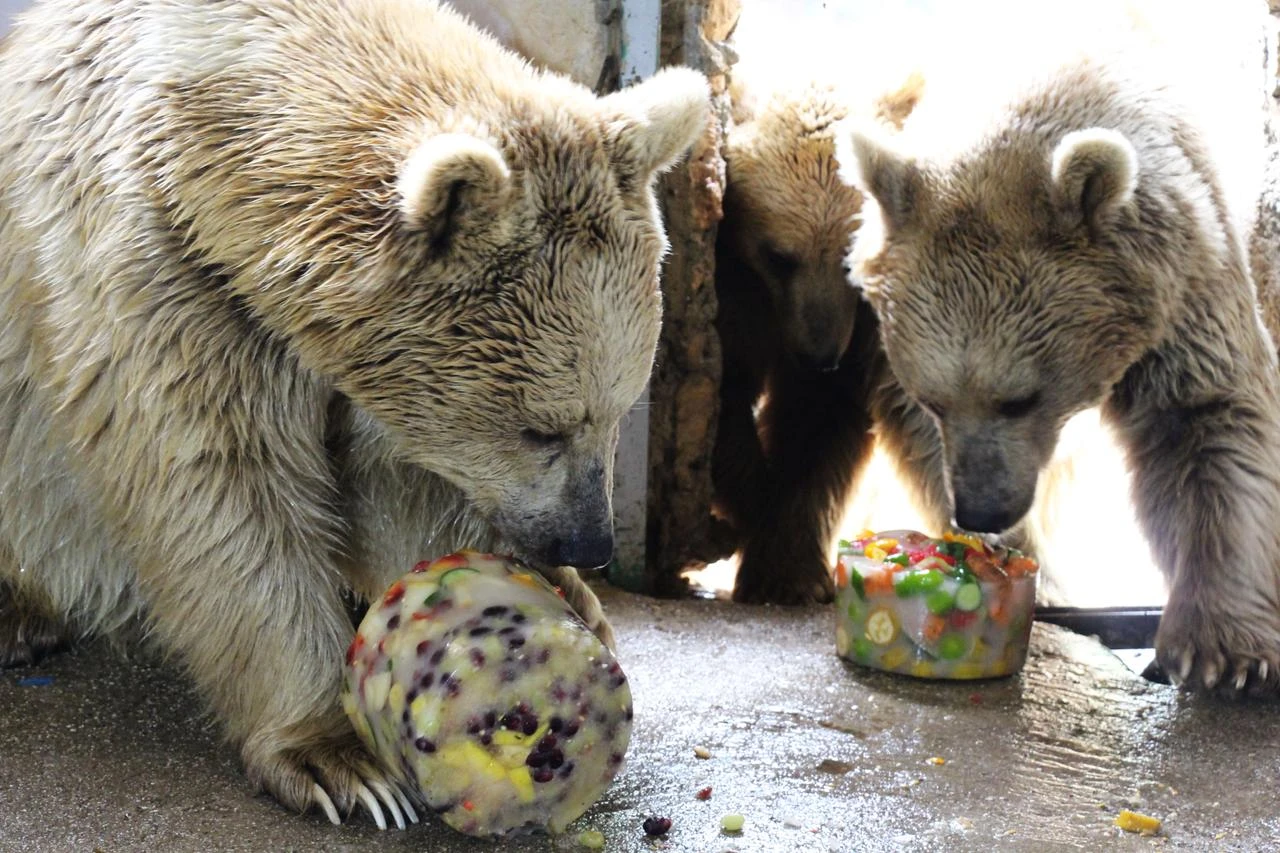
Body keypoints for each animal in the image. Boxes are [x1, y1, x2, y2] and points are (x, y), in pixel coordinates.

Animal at [0, 0, 708, 827]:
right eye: (541, 426)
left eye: (621, 409)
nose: (587, 540)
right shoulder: (166, 280)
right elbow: (222, 493)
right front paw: (340, 760)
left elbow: (399, 483)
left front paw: (545, 602)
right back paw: (20, 616)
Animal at [710, 74, 923, 605]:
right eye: (779, 256)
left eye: (853, 258)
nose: (818, 354)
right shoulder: (736, 286)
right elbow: (728, 387)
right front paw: (753, 501)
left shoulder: (864, 329)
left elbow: (819, 425)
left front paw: (789, 570)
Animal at [838, 55, 1280, 695]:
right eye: (933, 401)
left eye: (1020, 398)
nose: (981, 510)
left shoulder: (1186, 290)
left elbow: (1206, 423)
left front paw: (1222, 653)